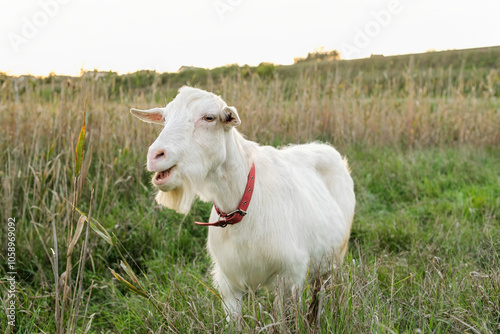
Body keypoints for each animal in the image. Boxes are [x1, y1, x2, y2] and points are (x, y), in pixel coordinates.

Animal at [130, 86, 356, 318]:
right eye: (165, 119)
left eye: (209, 117)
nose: (155, 155)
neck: (242, 202)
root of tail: (326, 148)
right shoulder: (228, 283)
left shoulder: (290, 276)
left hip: (333, 260)